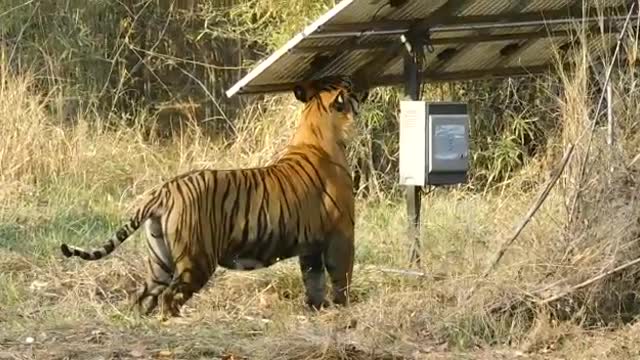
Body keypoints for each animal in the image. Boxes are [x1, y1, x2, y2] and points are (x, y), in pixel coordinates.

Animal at [61, 74, 370, 316]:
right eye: (350, 85)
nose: (364, 87)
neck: (317, 128)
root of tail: (163, 190)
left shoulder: (310, 245)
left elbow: (313, 280)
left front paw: (318, 309)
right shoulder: (341, 233)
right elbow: (341, 276)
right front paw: (343, 308)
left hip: (160, 260)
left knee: (144, 296)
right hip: (196, 259)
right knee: (170, 298)